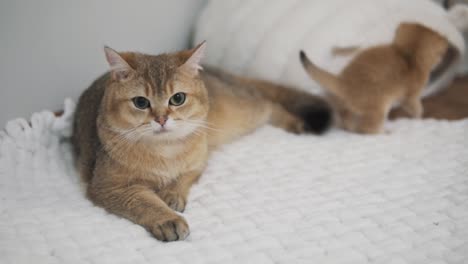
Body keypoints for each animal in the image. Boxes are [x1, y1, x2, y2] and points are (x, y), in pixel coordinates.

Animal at [71, 41, 330, 241]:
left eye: (177, 98)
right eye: (141, 102)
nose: (161, 119)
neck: (166, 150)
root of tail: (218, 72)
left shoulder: (198, 162)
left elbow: (184, 178)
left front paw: (172, 195)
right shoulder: (107, 186)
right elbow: (144, 201)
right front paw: (167, 218)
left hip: (241, 113)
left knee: (268, 104)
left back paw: (294, 123)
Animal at [300, 22, 450, 134]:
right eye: (441, 54)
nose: (442, 59)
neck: (407, 55)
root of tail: (343, 82)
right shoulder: (410, 97)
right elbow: (417, 109)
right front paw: (419, 117)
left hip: (345, 106)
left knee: (346, 120)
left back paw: (350, 127)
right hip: (379, 108)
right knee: (366, 129)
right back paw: (385, 133)